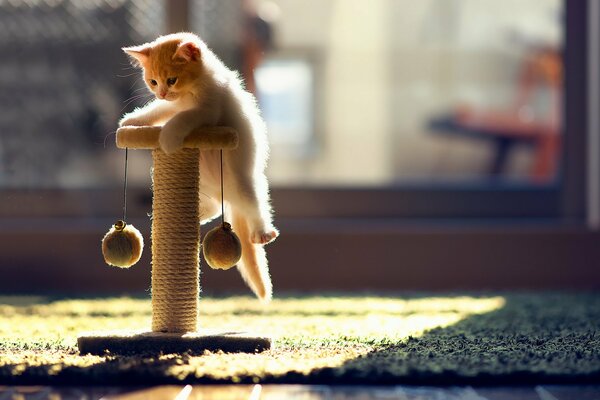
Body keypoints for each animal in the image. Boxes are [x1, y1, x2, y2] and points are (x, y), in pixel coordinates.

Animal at [122, 32, 282, 300]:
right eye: (153, 82)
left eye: (172, 80)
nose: (162, 92)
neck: (190, 90)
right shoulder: (172, 104)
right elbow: (159, 110)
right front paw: (131, 121)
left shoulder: (208, 109)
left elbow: (182, 118)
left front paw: (168, 137)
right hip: (206, 184)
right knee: (215, 206)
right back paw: (194, 216)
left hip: (242, 181)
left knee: (255, 206)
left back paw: (262, 232)